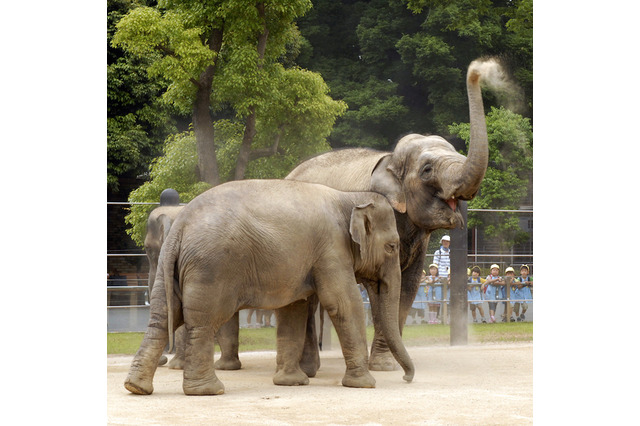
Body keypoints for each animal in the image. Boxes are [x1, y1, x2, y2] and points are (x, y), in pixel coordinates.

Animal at [125, 180, 416, 396]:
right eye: (392, 247)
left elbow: (293, 310)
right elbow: (343, 303)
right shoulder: (332, 248)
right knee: (204, 322)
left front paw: (292, 383)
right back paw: (208, 390)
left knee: (161, 319)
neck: (349, 197)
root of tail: (180, 227)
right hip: (212, 267)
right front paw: (365, 385)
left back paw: (136, 387)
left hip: (169, 266)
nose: (407, 378)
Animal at [215, 57, 504, 376]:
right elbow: (380, 291)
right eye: (427, 170)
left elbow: (407, 287)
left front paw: (385, 365)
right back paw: (310, 363)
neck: (389, 159)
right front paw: (383, 366)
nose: (480, 68)